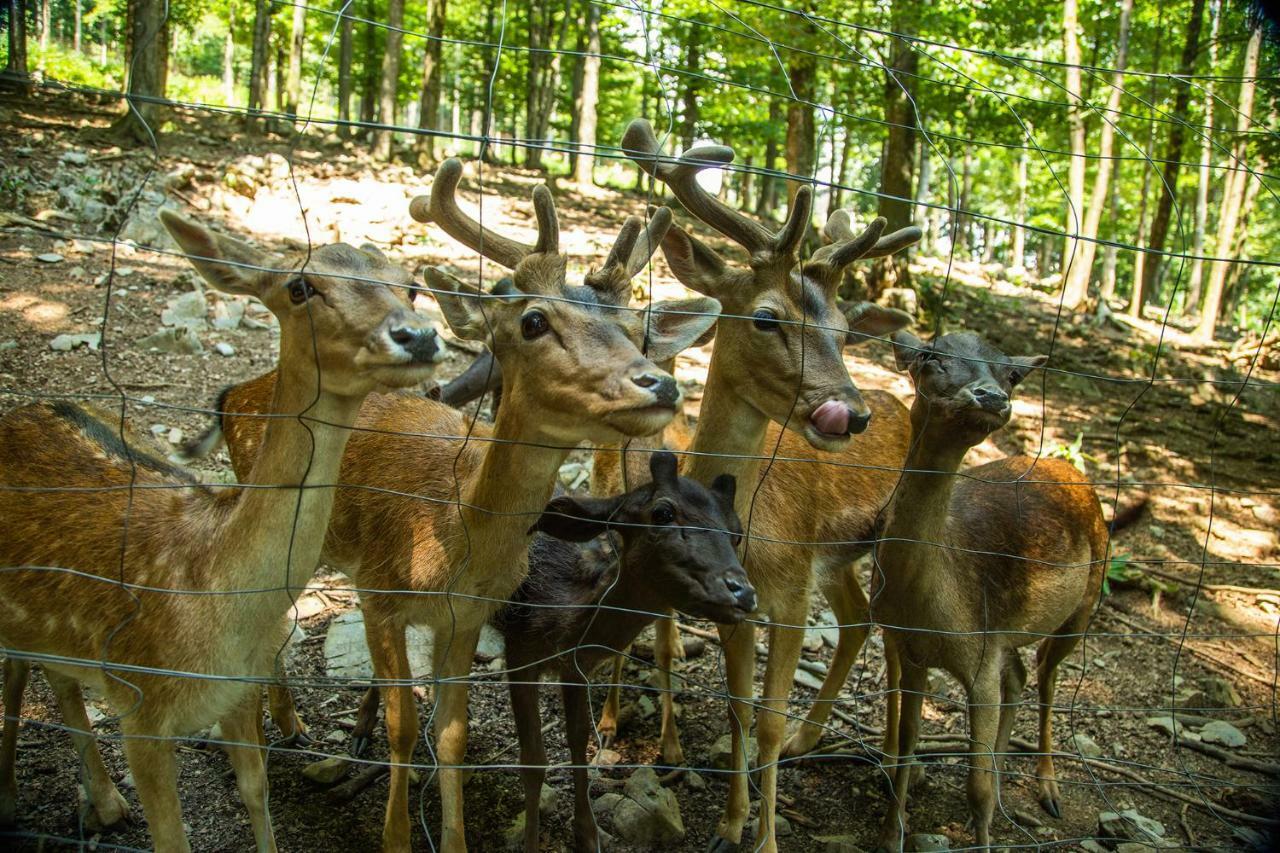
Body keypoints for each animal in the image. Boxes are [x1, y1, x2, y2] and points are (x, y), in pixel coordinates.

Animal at [0, 207, 445, 850]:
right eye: (300, 286)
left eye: (410, 285)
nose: (419, 335)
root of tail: (25, 409)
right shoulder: (140, 708)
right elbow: (172, 838)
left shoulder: (238, 692)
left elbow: (257, 794)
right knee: (16, 673)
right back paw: (13, 801)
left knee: (56, 678)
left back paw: (104, 804)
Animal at [190, 156, 721, 845]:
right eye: (532, 321)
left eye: (638, 333)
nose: (659, 383)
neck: (447, 537)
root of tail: (236, 394)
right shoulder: (380, 594)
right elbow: (404, 728)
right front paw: (393, 837)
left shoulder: (466, 619)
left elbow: (452, 735)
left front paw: (453, 836)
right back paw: (282, 724)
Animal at [496, 448, 752, 845]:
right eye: (662, 513)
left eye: (737, 532)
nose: (743, 592)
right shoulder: (519, 647)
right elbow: (533, 760)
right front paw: (531, 843)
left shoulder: (576, 667)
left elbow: (578, 742)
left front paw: (590, 835)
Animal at [870, 327, 1121, 845]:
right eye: (930, 355)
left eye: (1011, 373)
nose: (991, 396)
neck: (927, 607)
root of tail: (1073, 470)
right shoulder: (911, 649)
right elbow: (908, 742)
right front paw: (889, 835)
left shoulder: (979, 655)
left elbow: (975, 786)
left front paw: (983, 832)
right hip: (1007, 634)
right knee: (1020, 676)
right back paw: (1009, 778)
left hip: (1083, 605)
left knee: (1047, 677)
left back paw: (1047, 789)